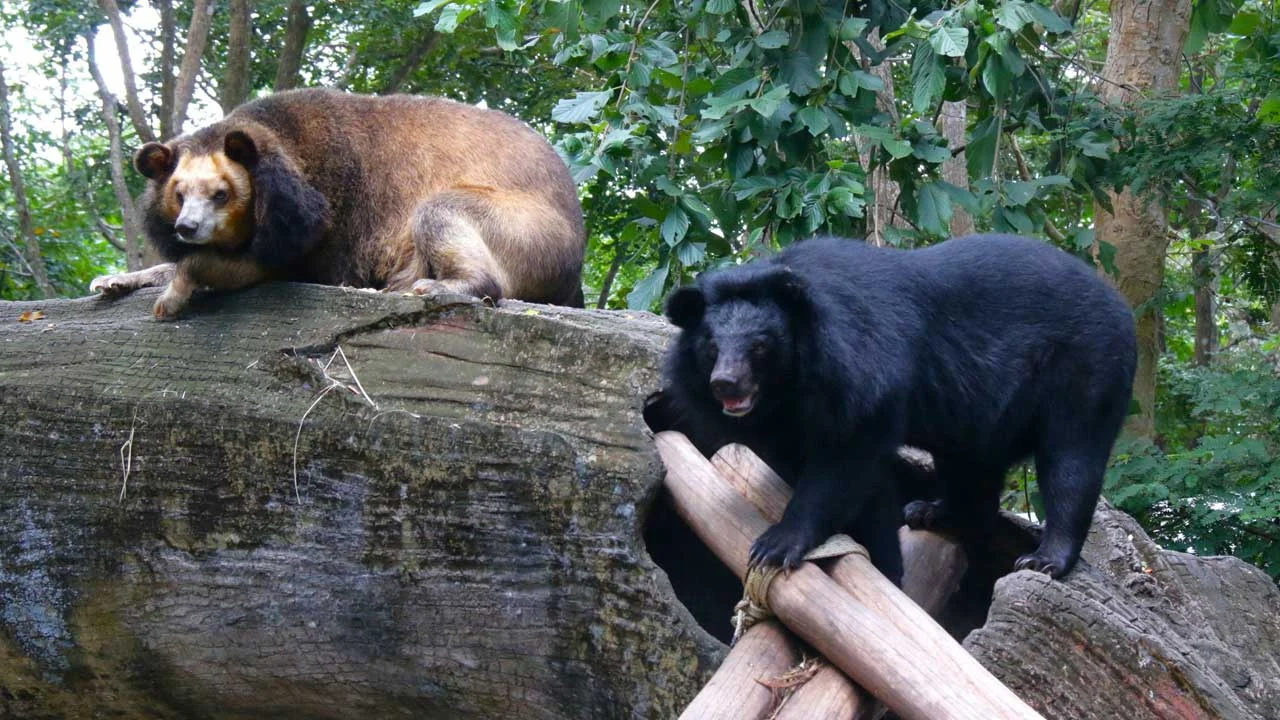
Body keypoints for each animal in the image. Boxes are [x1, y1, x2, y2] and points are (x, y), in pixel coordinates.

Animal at [90, 88, 586, 320]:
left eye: (221, 193)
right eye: (178, 195)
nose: (187, 228)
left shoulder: (325, 218)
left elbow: (263, 268)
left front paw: (174, 292)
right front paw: (115, 279)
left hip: (530, 229)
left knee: (443, 209)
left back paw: (436, 286)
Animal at [659, 234, 1137, 583]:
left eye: (760, 347)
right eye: (711, 347)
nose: (726, 384)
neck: (791, 389)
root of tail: (1121, 305)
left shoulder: (863, 382)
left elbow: (842, 467)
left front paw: (777, 547)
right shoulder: (785, 421)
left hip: (1087, 367)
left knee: (1071, 460)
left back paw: (1044, 559)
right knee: (972, 464)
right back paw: (933, 511)